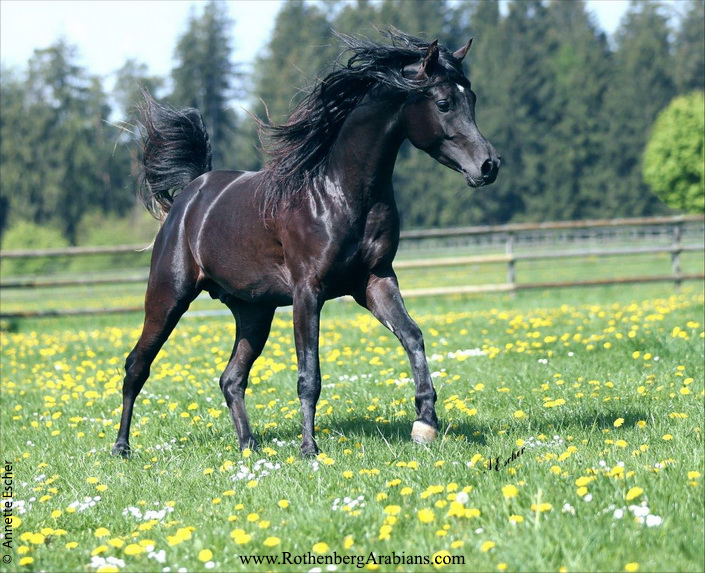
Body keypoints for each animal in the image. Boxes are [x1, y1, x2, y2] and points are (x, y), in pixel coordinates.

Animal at [112, 29, 500, 458]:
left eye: (473, 98)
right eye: (444, 103)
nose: (488, 165)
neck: (339, 193)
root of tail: (189, 196)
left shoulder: (376, 281)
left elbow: (413, 336)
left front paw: (425, 423)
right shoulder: (307, 291)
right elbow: (309, 374)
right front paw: (309, 449)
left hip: (253, 312)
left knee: (231, 378)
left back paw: (249, 446)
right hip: (168, 297)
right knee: (136, 366)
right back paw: (121, 448)